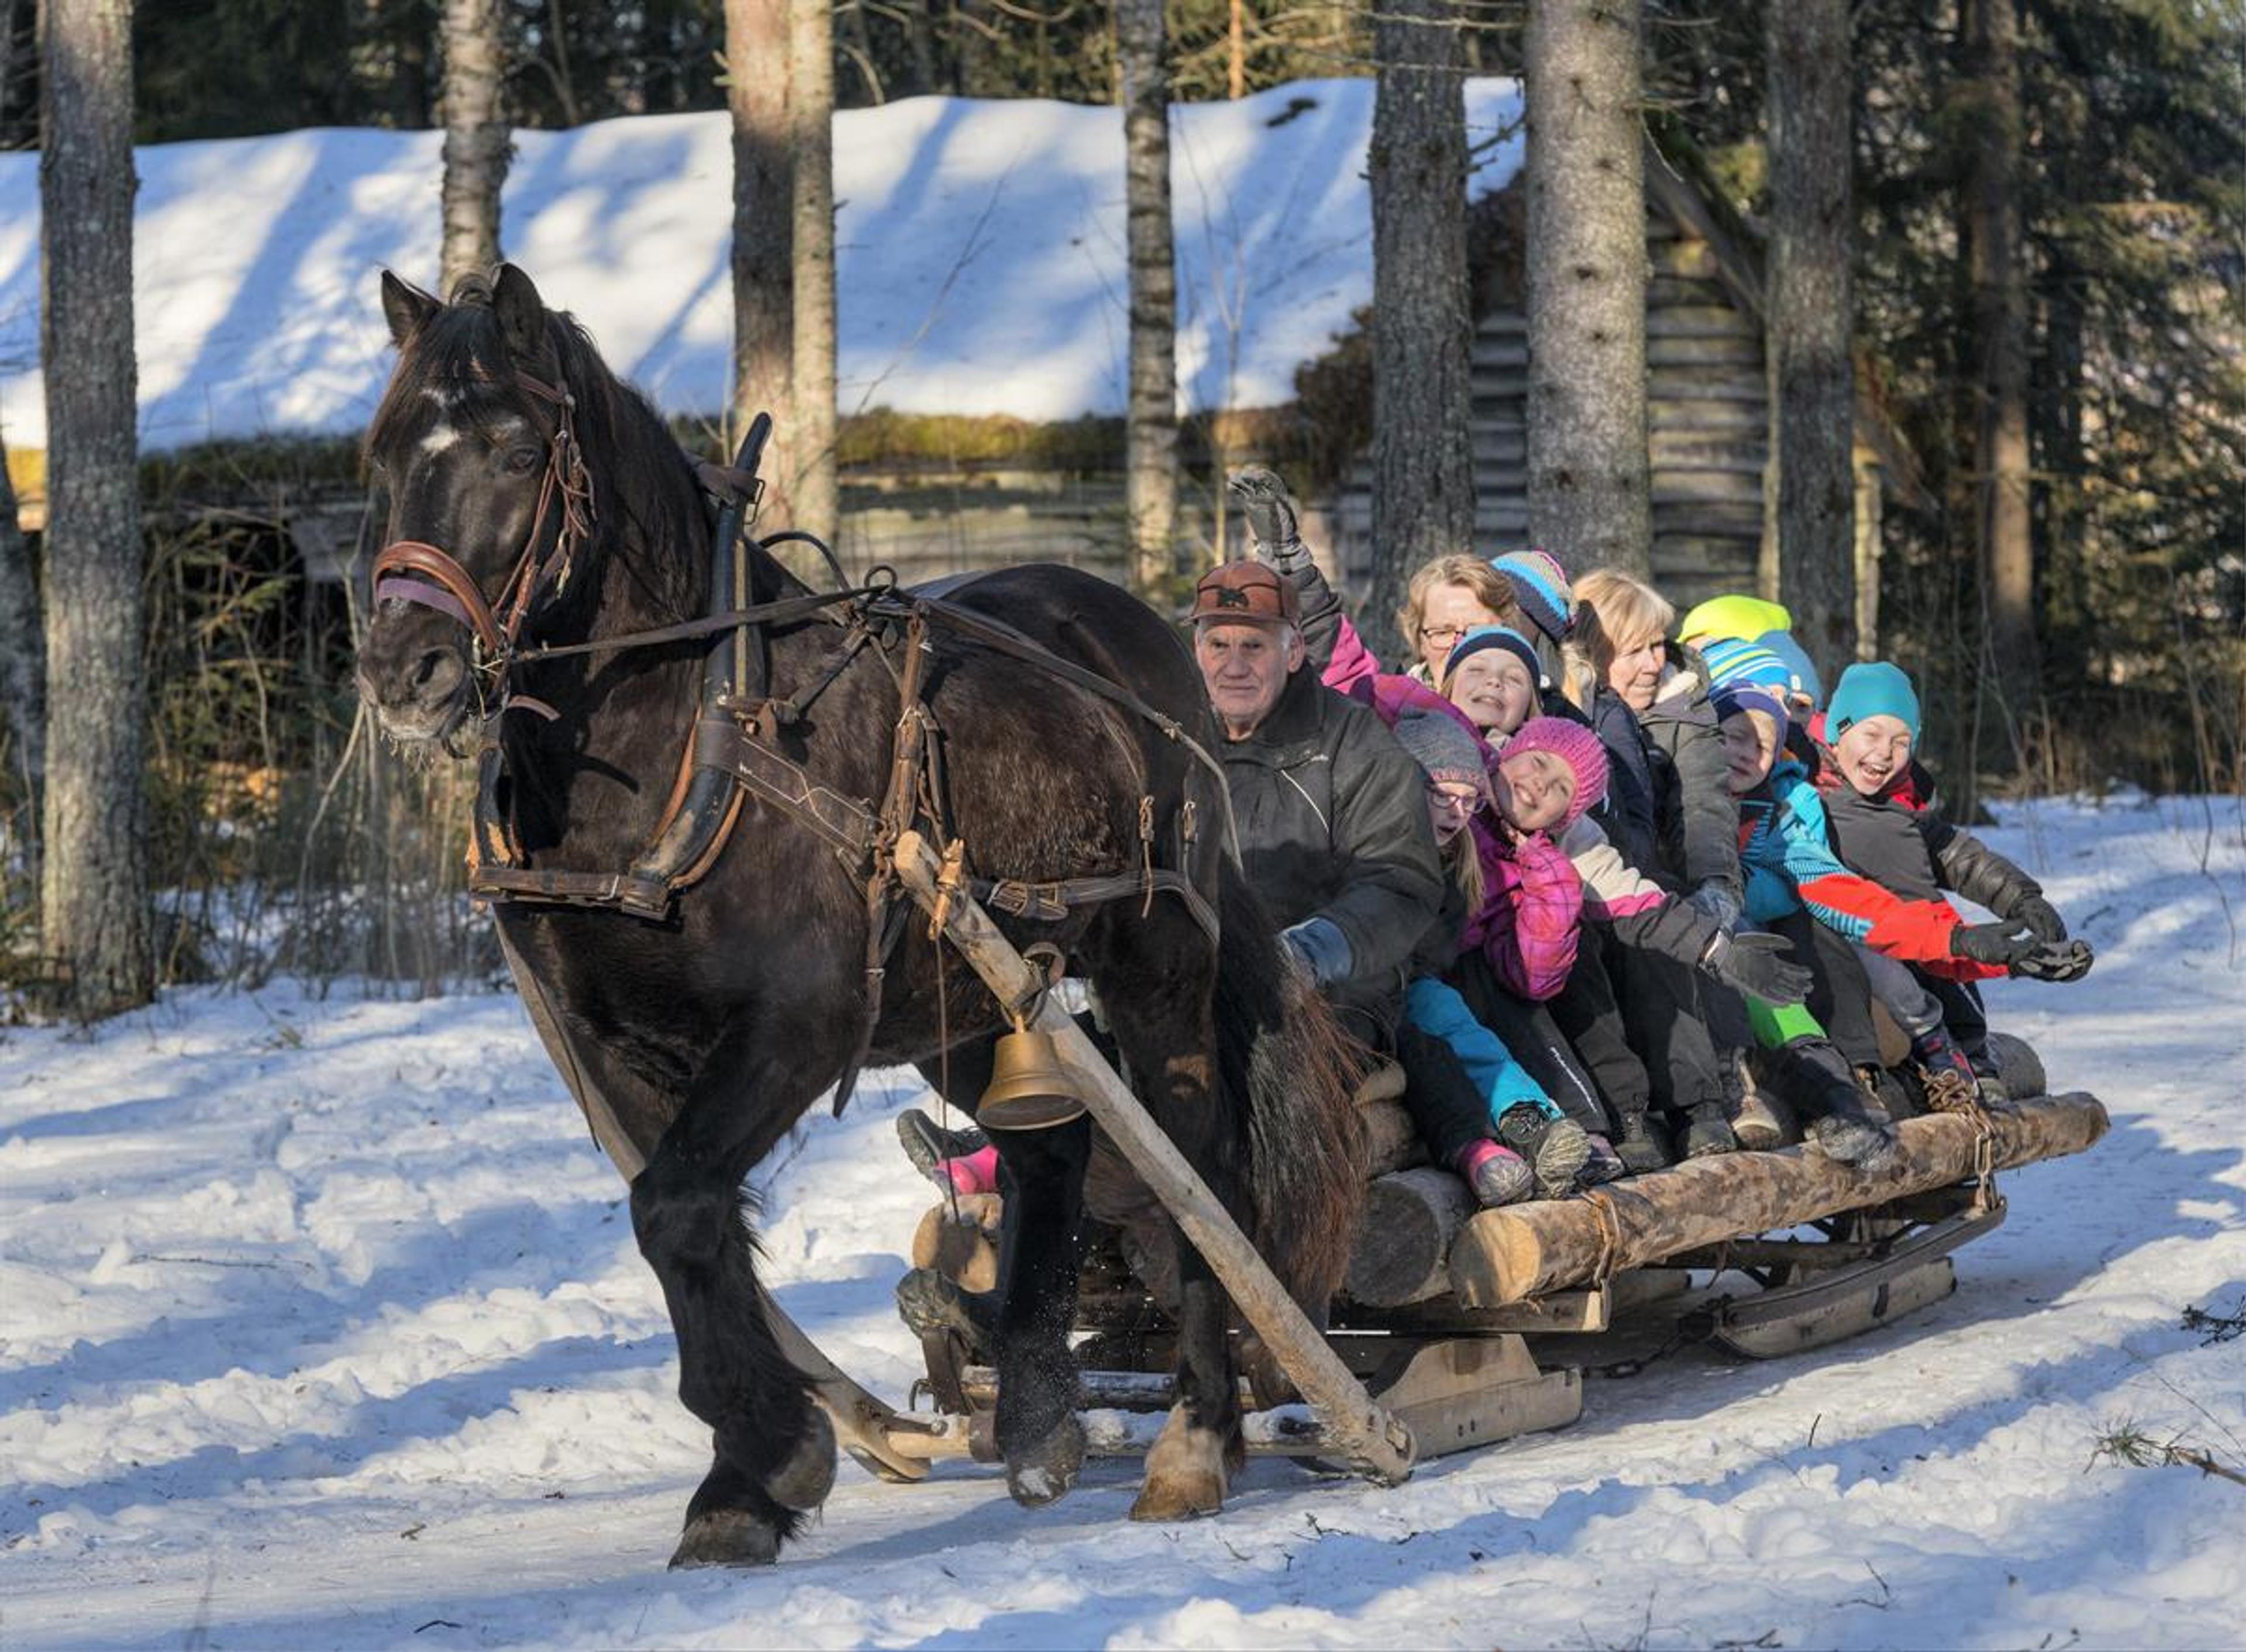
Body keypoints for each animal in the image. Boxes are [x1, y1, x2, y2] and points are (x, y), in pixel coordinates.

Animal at [352, 264, 1366, 1567]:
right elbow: (683, 1219)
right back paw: (1036, 1415)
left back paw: (1197, 1435)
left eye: (519, 450)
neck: (682, 746)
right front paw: (748, 1475)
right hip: (963, 997)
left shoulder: (800, 1022)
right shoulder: (621, 1048)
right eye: (384, 452)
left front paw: (770, 1453)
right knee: (1050, 1146)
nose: (404, 667)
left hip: (1157, 959)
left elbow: (676, 1206)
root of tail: (1142, 638)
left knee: (1197, 1166)